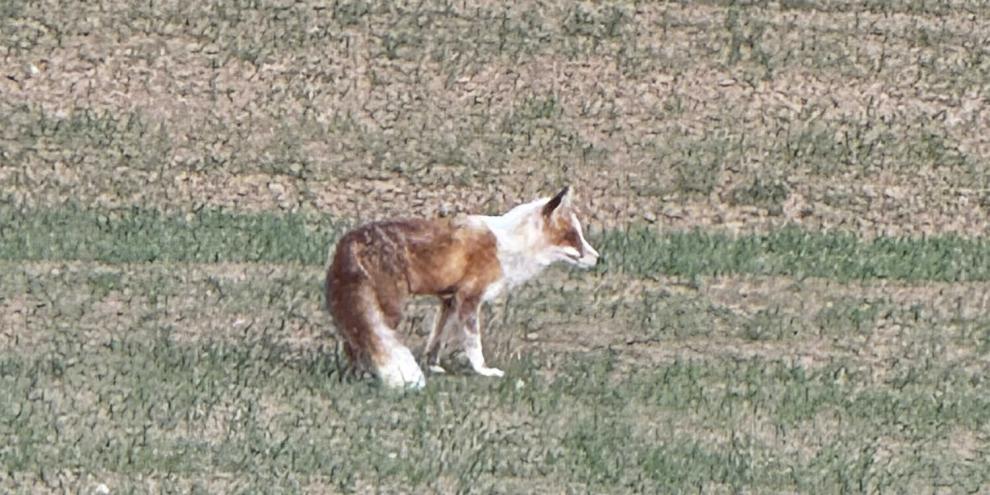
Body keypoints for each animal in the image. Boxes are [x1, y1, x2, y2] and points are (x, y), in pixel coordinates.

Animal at [324, 186, 599, 389]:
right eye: (573, 237)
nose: (598, 258)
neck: (509, 246)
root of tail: (348, 241)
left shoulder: (449, 300)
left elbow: (436, 340)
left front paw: (433, 366)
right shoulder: (469, 298)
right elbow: (474, 345)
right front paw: (484, 372)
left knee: (353, 344)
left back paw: (358, 376)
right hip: (389, 311)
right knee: (364, 345)